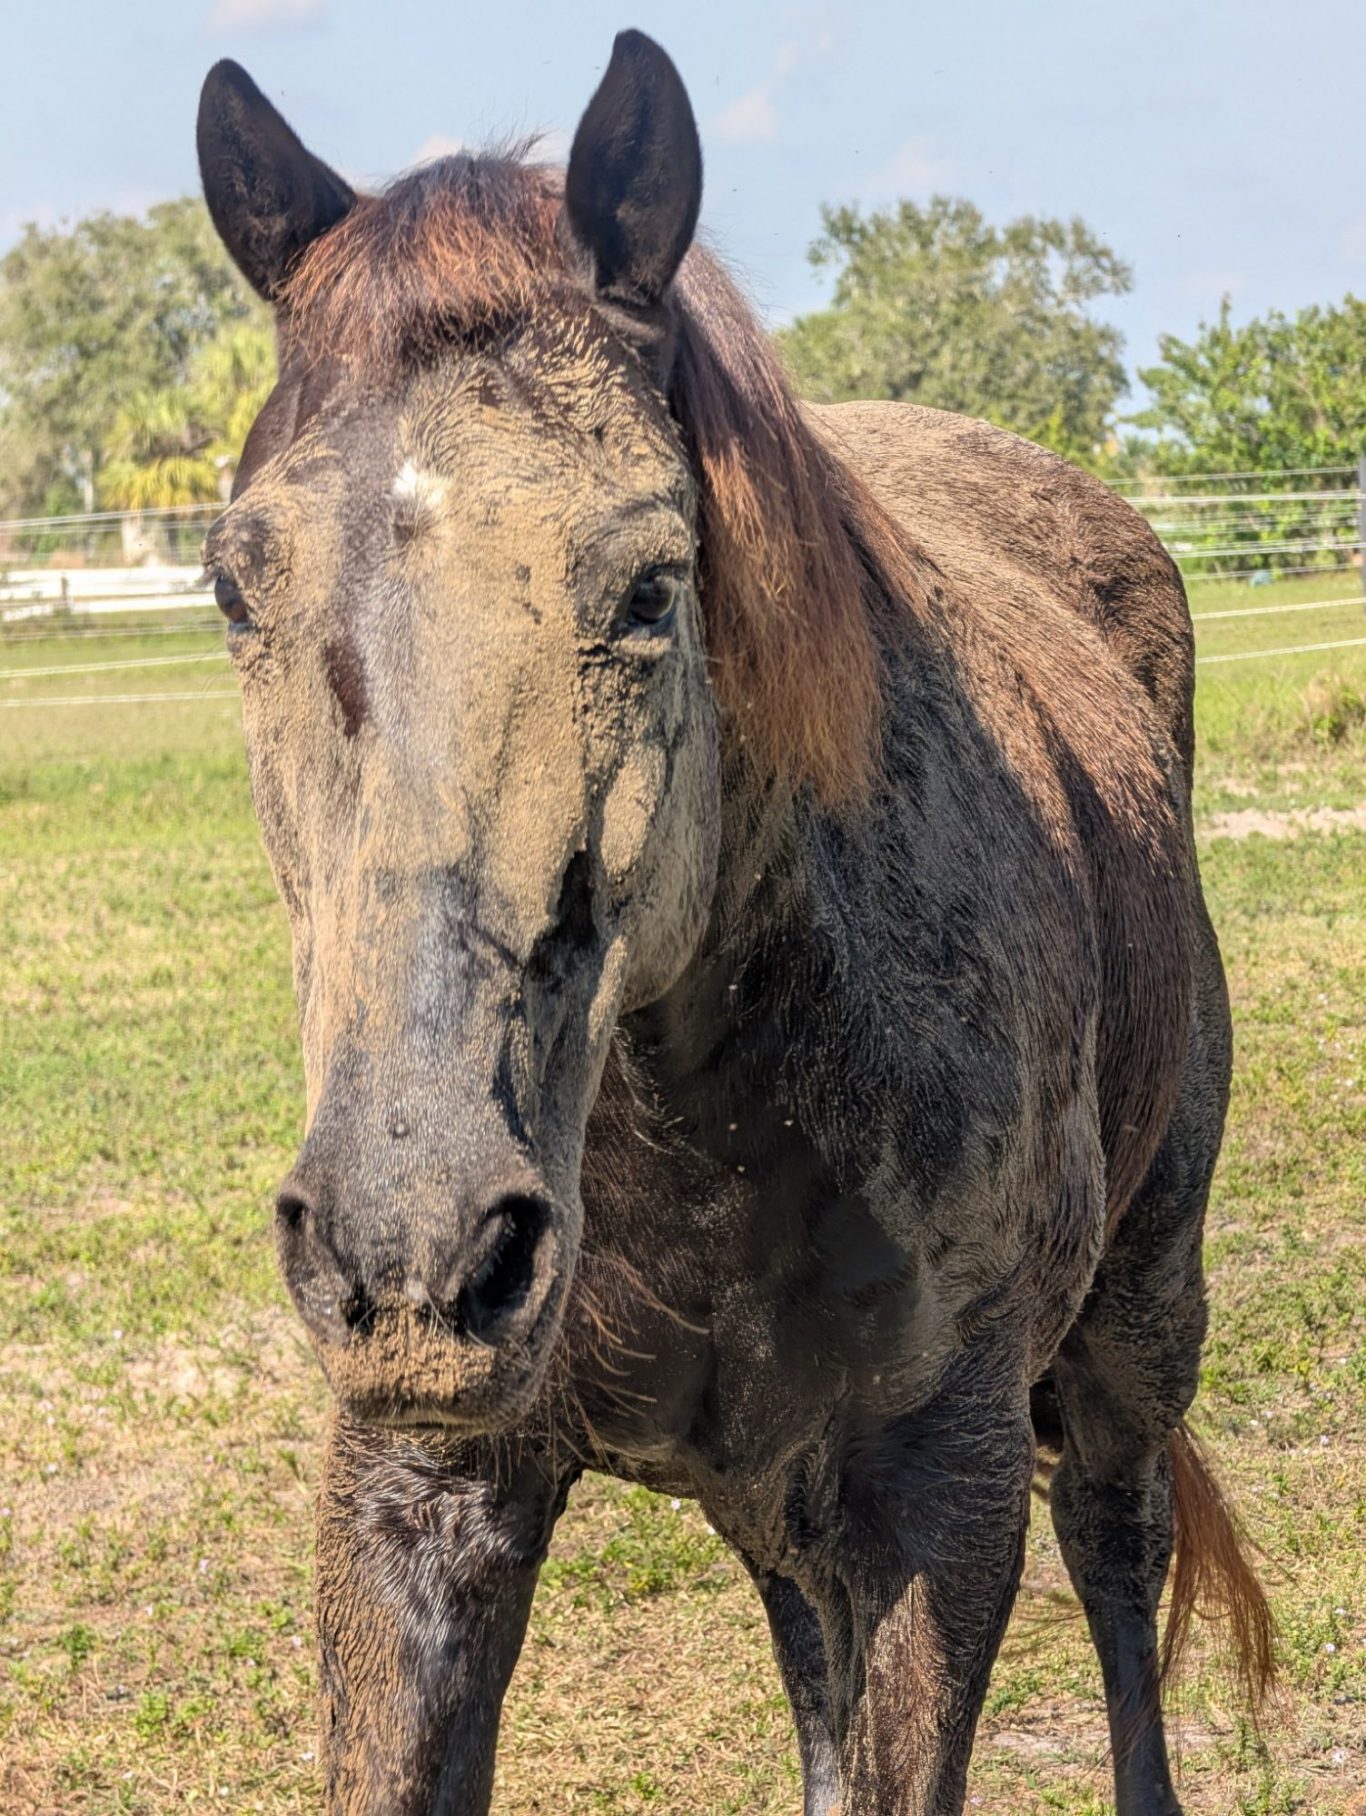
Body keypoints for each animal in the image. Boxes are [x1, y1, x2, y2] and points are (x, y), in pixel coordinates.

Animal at [195, 31, 1271, 1814]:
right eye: (232, 585)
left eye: (650, 587)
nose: (413, 1253)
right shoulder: (420, 1486)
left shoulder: (942, 1495)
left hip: (1134, 1321)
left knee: (1116, 1555)